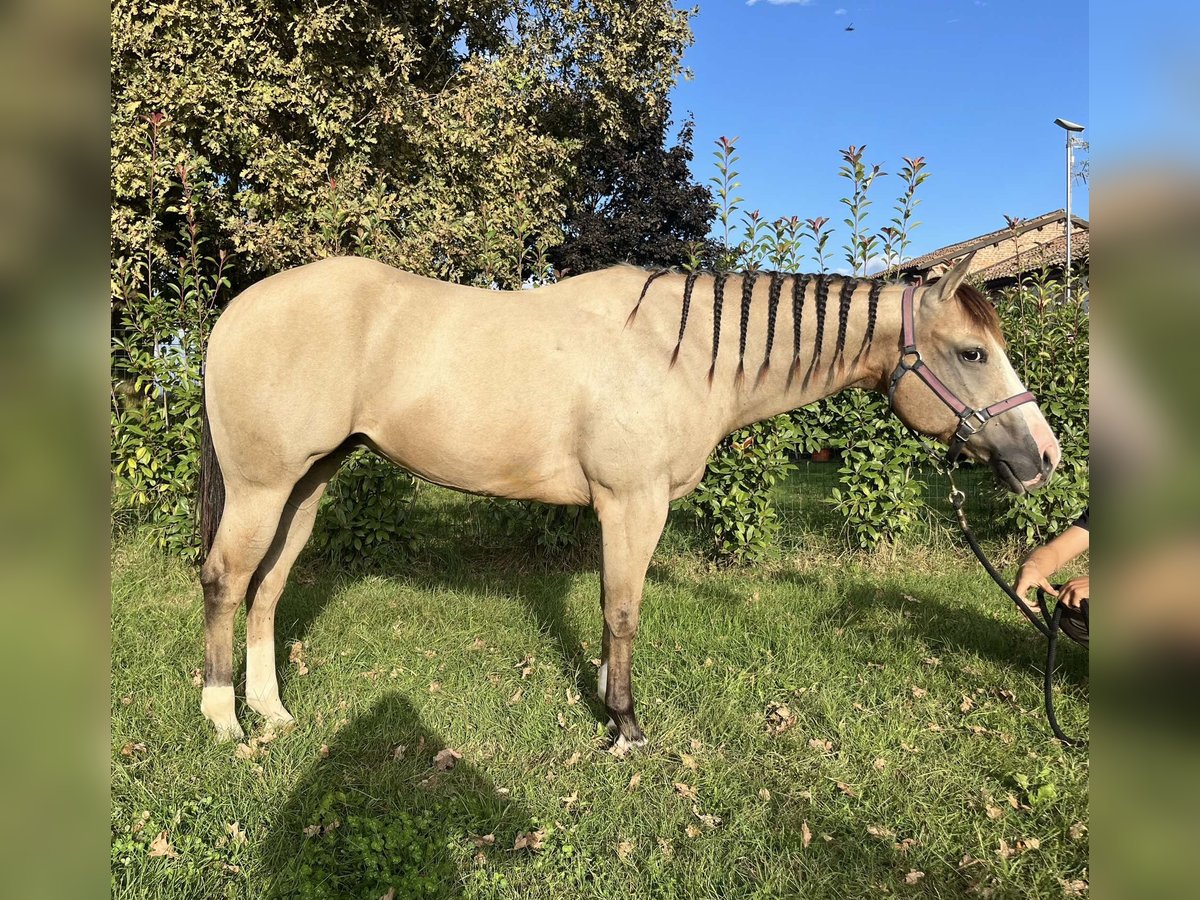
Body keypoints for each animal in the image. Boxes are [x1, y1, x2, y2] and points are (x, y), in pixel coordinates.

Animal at [199, 252, 1060, 748]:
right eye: (972, 352)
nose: (1044, 458)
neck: (682, 352)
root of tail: (235, 311)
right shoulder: (630, 505)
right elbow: (622, 613)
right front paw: (625, 726)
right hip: (262, 487)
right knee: (226, 581)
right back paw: (223, 718)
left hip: (307, 485)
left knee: (268, 588)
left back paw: (271, 710)